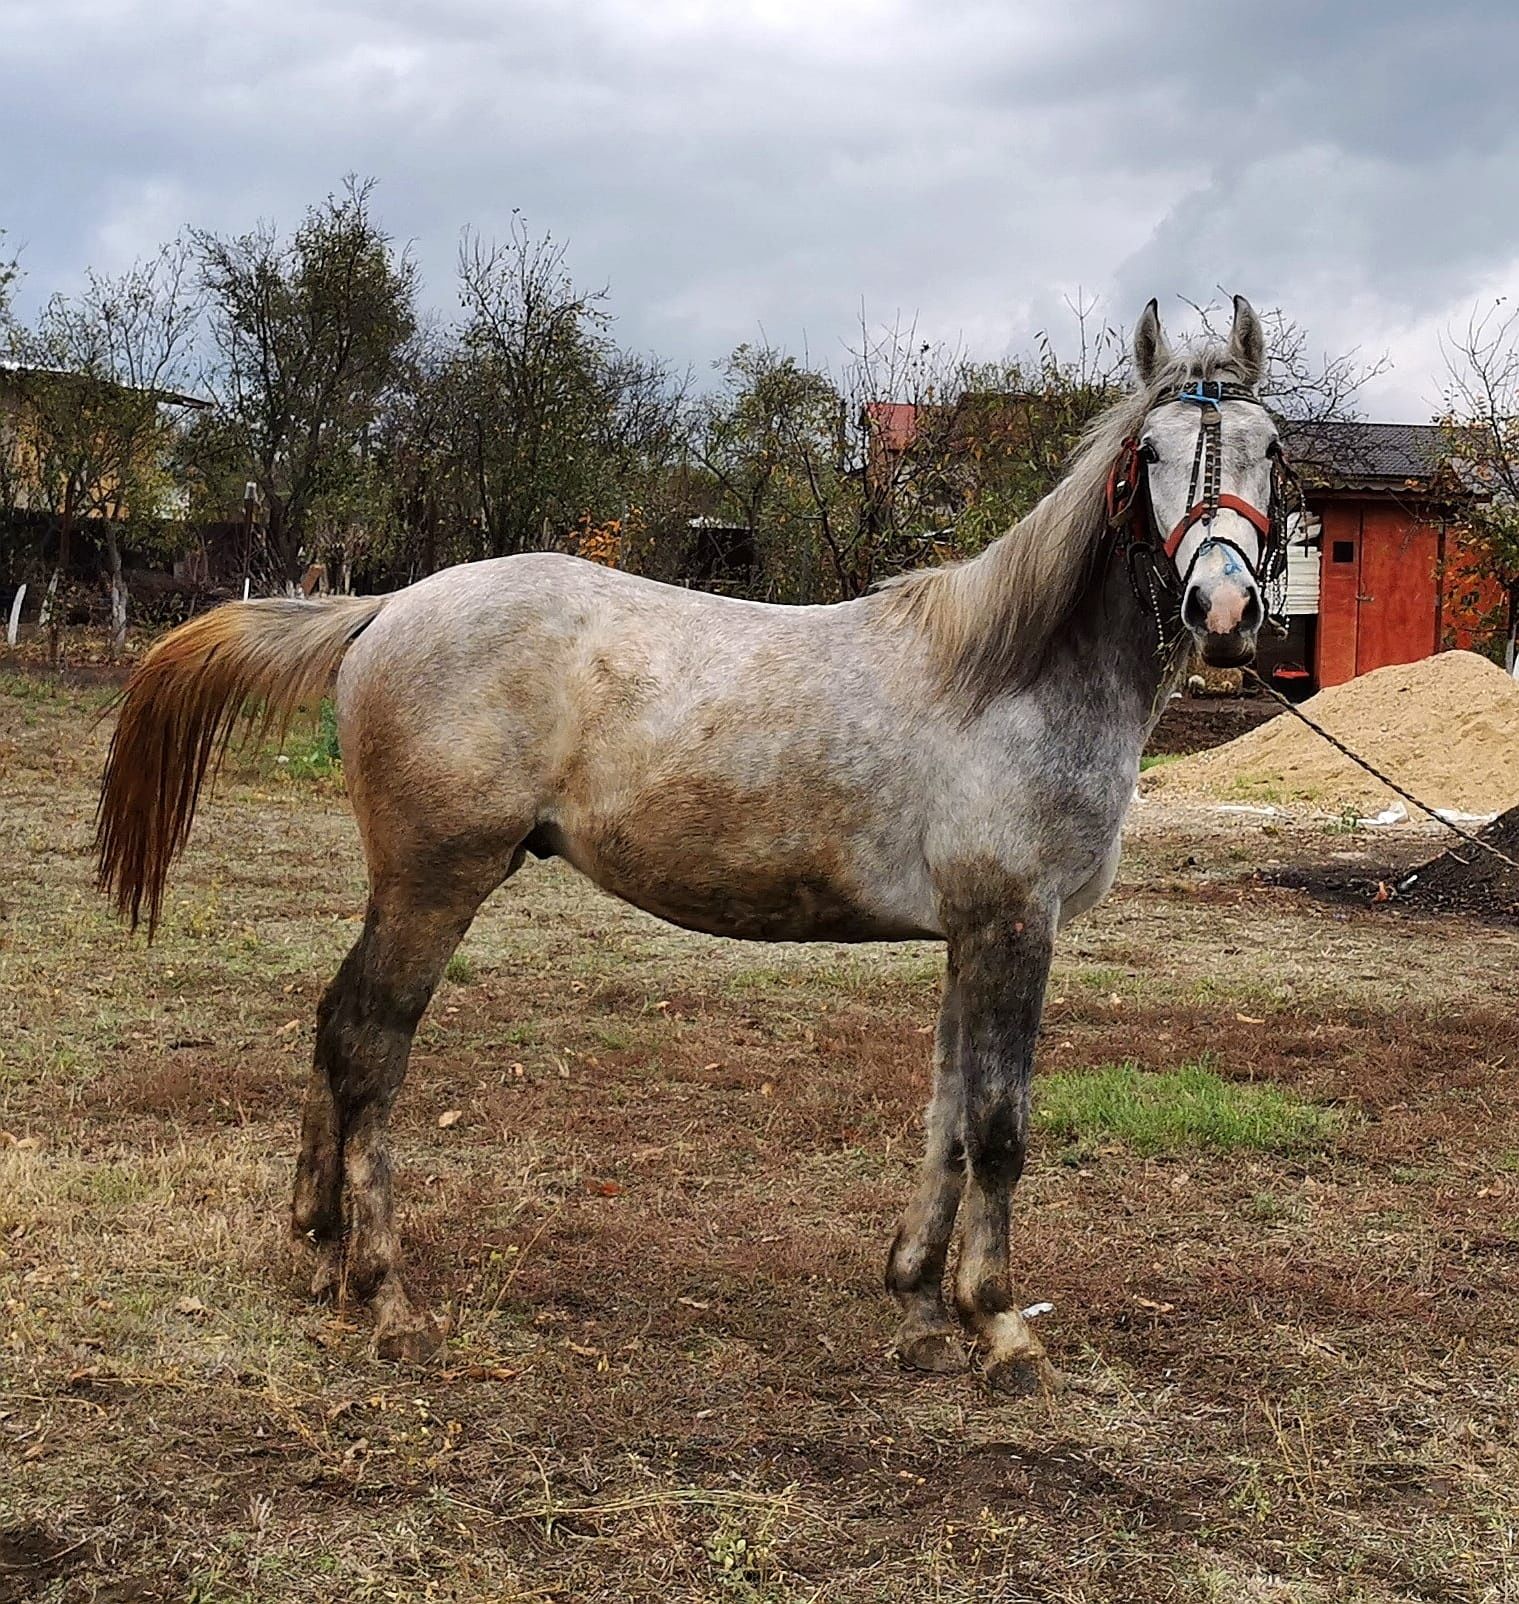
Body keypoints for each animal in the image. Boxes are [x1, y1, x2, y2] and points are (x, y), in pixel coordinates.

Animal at [95, 298, 1289, 1392]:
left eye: (1272, 449)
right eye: (1149, 454)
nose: (1223, 608)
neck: (1012, 674)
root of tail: (388, 607)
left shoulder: (968, 933)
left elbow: (946, 1114)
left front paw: (916, 1306)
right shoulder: (1011, 924)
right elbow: (999, 1124)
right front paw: (999, 1326)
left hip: (405, 886)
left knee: (333, 1027)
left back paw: (319, 1249)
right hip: (436, 882)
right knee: (368, 1045)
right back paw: (384, 1294)